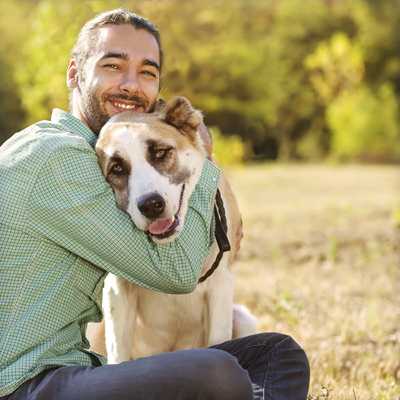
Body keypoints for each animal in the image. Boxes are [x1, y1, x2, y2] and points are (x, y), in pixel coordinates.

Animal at [86, 97, 258, 362]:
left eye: (160, 153)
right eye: (117, 169)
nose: (151, 205)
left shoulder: (221, 284)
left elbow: (219, 341)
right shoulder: (117, 290)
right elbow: (118, 353)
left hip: (243, 317)